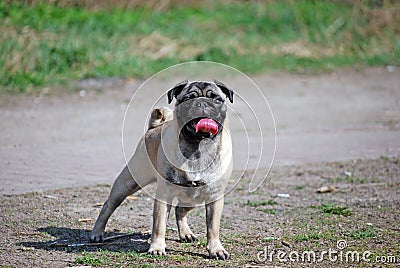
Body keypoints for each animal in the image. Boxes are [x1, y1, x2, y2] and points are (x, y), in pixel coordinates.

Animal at [90, 79, 234, 260]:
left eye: (216, 99)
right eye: (188, 98)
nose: (202, 103)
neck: (197, 147)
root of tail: (154, 127)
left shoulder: (215, 197)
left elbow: (213, 228)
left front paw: (216, 249)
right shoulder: (163, 196)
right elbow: (159, 225)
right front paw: (157, 247)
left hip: (195, 197)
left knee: (180, 210)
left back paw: (186, 234)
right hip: (128, 183)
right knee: (108, 206)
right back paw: (97, 233)